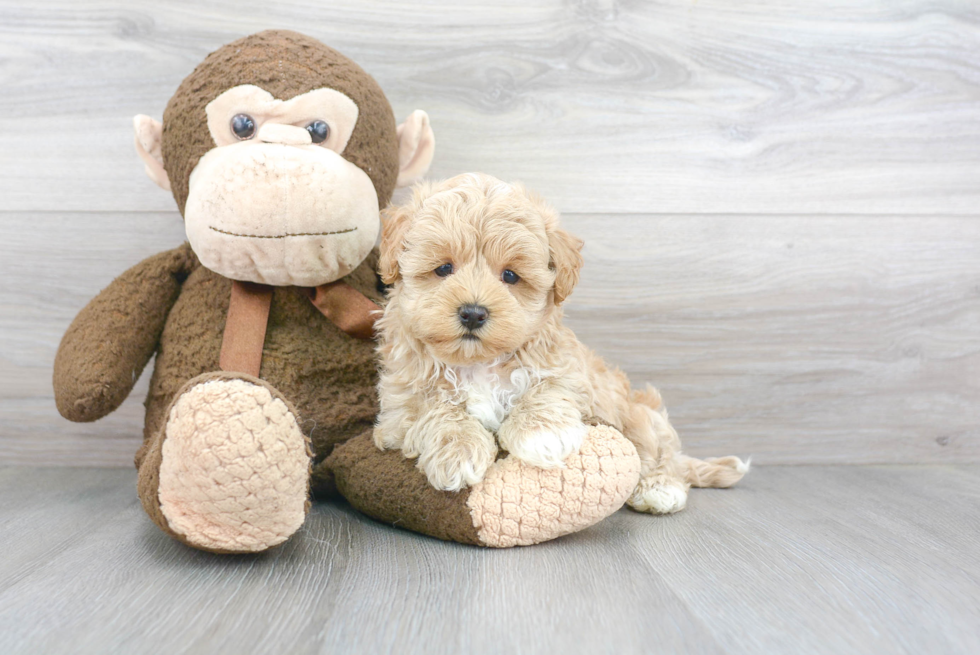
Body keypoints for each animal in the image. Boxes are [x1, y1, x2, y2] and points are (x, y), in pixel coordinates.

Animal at [372, 172, 748, 516]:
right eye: (443, 268)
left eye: (510, 276)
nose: (473, 313)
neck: (478, 362)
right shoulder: (400, 404)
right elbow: (435, 410)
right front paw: (458, 451)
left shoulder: (567, 368)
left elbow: (549, 389)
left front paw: (540, 434)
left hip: (639, 414)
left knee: (660, 449)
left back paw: (660, 487)